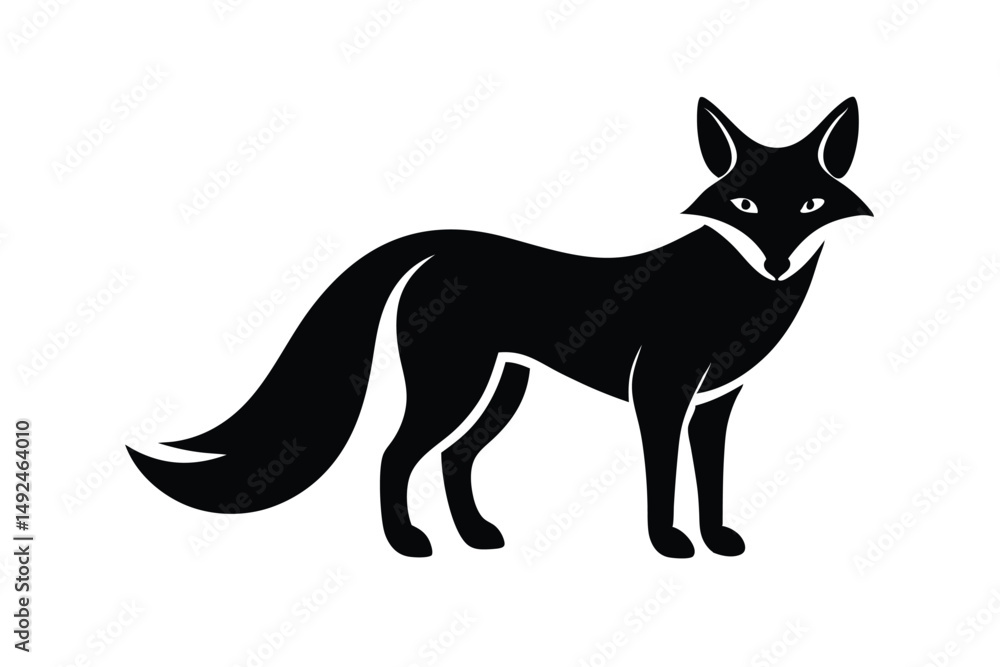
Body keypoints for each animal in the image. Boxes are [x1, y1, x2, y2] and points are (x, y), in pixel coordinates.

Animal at [128, 97, 873, 558]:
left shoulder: (716, 402)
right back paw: (408, 543)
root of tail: (439, 245)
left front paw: (716, 539)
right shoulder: (659, 393)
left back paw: (476, 535)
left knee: (453, 458)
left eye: (809, 204)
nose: (776, 261)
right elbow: (663, 480)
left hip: (501, 388)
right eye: (745, 205)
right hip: (455, 386)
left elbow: (711, 478)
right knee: (394, 455)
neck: (739, 295)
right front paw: (668, 544)